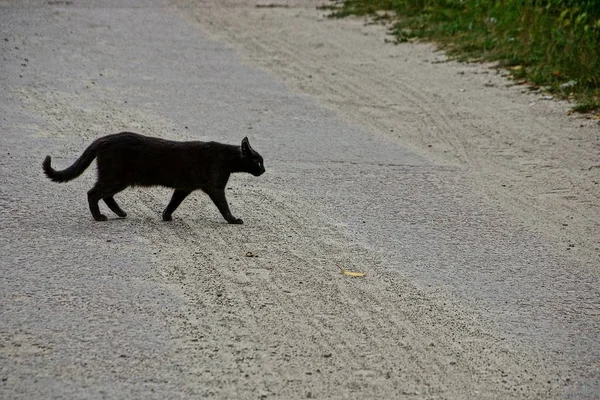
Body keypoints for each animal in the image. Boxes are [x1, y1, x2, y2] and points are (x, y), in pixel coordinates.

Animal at [42, 132, 264, 223]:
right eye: (260, 161)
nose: (264, 170)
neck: (228, 158)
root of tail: (103, 139)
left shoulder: (183, 188)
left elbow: (173, 203)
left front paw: (166, 216)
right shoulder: (215, 187)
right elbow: (224, 206)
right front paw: (233, 220)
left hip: (117, 179)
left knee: (105, 195)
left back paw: (121, 213)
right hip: (116, 177)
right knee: (93, 193)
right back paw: (99, 217)